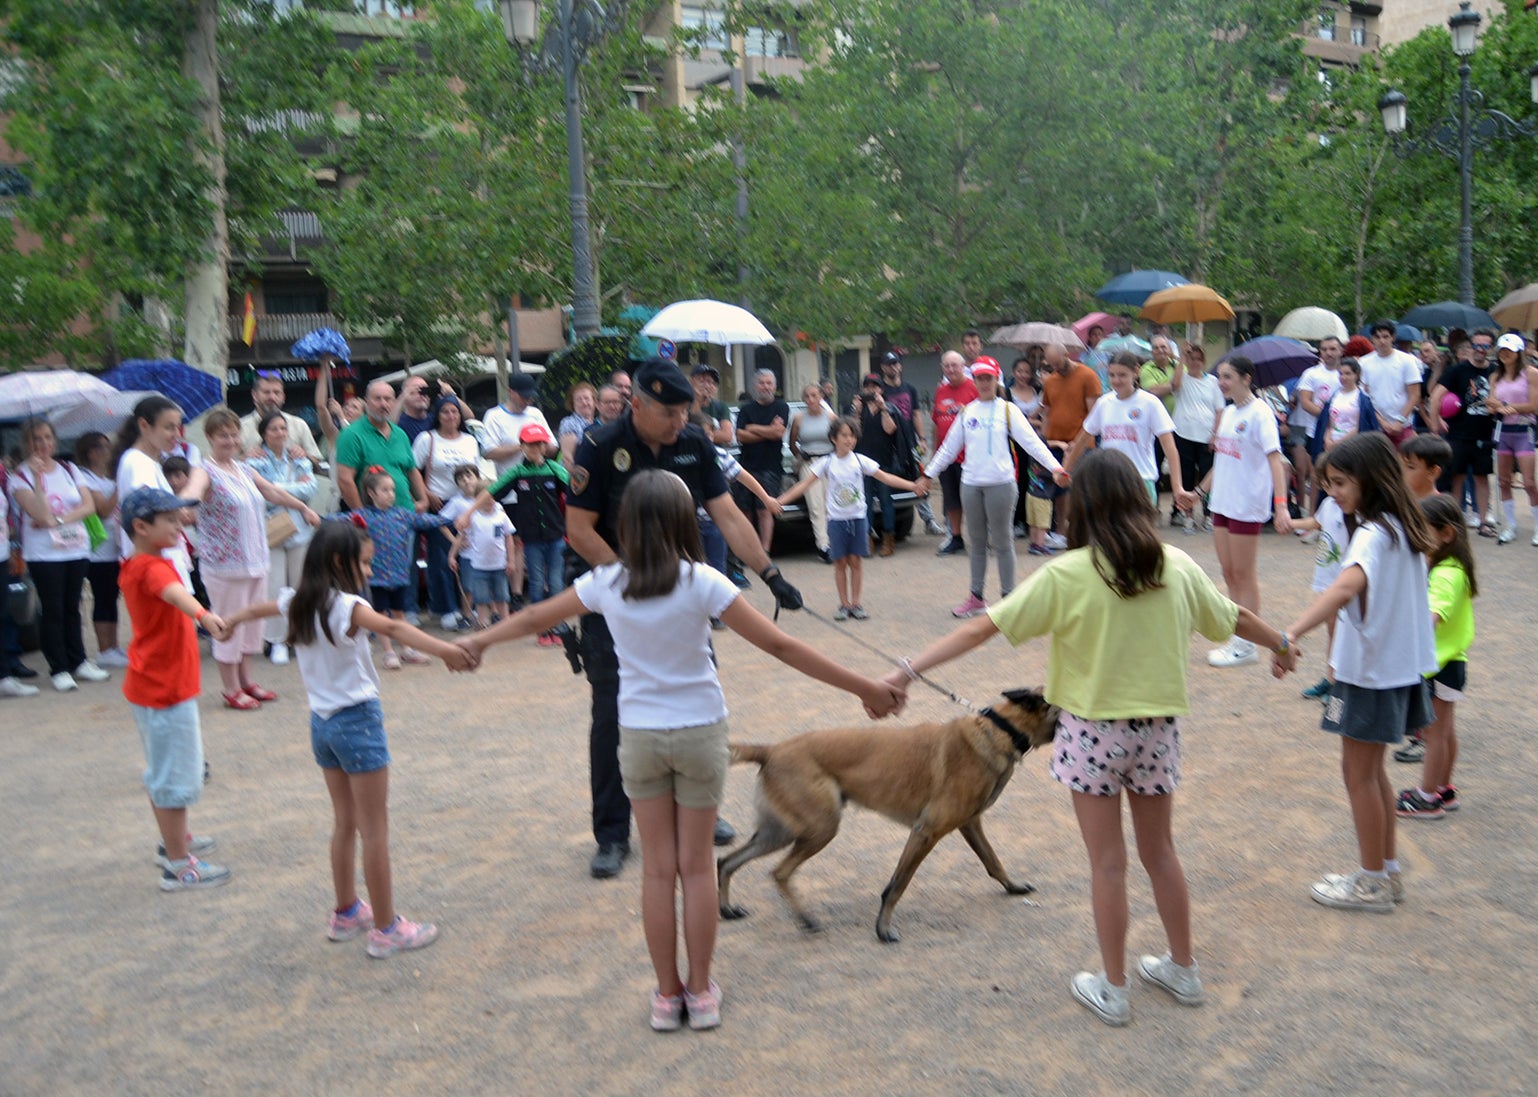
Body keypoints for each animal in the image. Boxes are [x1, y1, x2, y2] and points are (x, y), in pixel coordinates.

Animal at [710, 683, 1051, 941]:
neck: (1000, 730)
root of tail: (771, 750)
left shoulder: (970, 824)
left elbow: (993, 861)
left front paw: (1012, 887)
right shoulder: (926, 831)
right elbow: (896, 886)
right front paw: (883, 928)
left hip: (778, 833)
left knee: (726, 862)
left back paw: (726, 909)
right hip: (820, 829)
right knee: (779, 873)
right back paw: (806, 919)